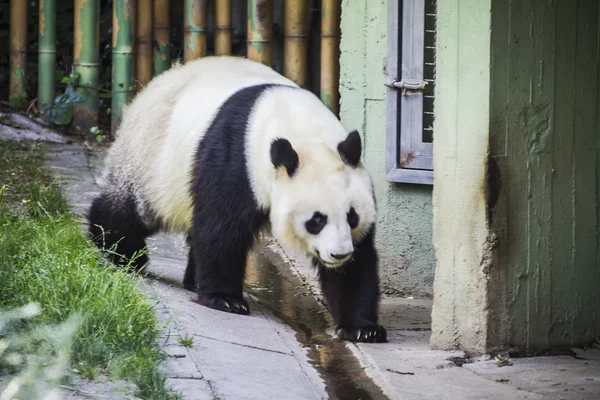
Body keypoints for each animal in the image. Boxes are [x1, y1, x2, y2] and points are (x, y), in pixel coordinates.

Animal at [89, 56, 390, 344]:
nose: (339, 254)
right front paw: (225, 299)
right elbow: (221, 228)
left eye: (352, 217)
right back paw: (120, 249)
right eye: (316, 220)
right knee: (130, 209)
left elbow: (358, 263)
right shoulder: (237, 159)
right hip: (152, 155)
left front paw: (362, 328)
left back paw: (191, 279)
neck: (301, 131)